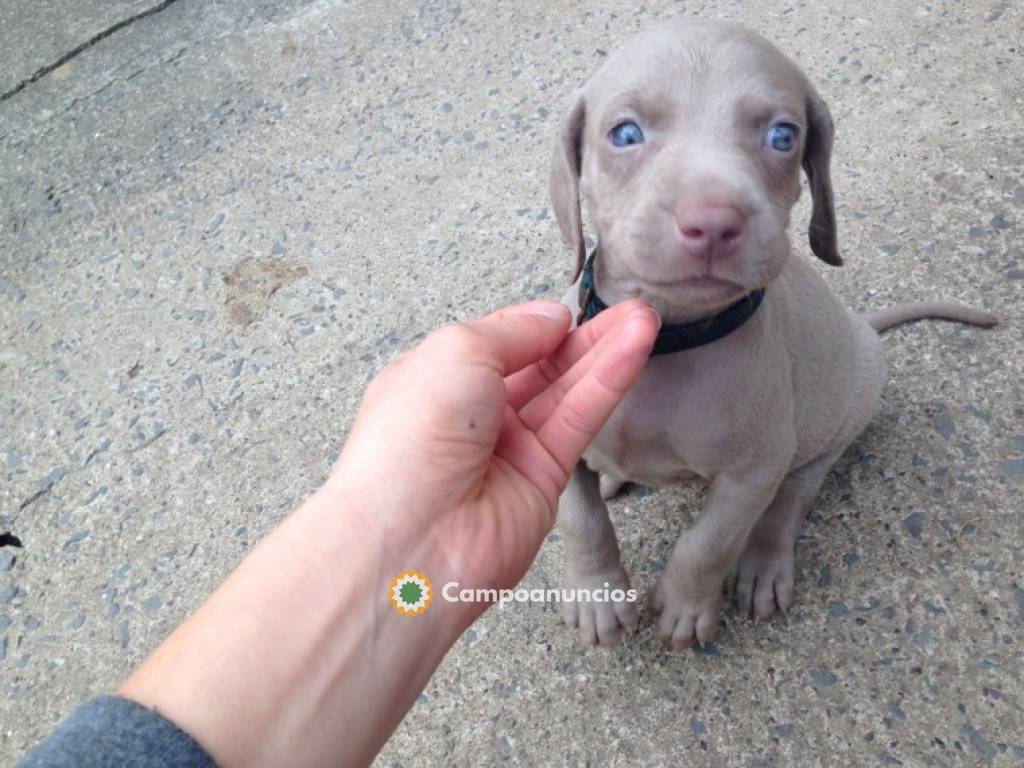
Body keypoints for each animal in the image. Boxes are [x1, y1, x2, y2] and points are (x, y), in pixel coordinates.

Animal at [548, 18, 995, 651]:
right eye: (625, 133)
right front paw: (597, 595)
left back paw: (762, 563)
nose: (713, 222)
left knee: (794, 494)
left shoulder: (750, 474)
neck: (665, 336)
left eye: (783, 136)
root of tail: (860, 328)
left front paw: (685, 605)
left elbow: (709, 542)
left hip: (839, 413)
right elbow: (579, 518)